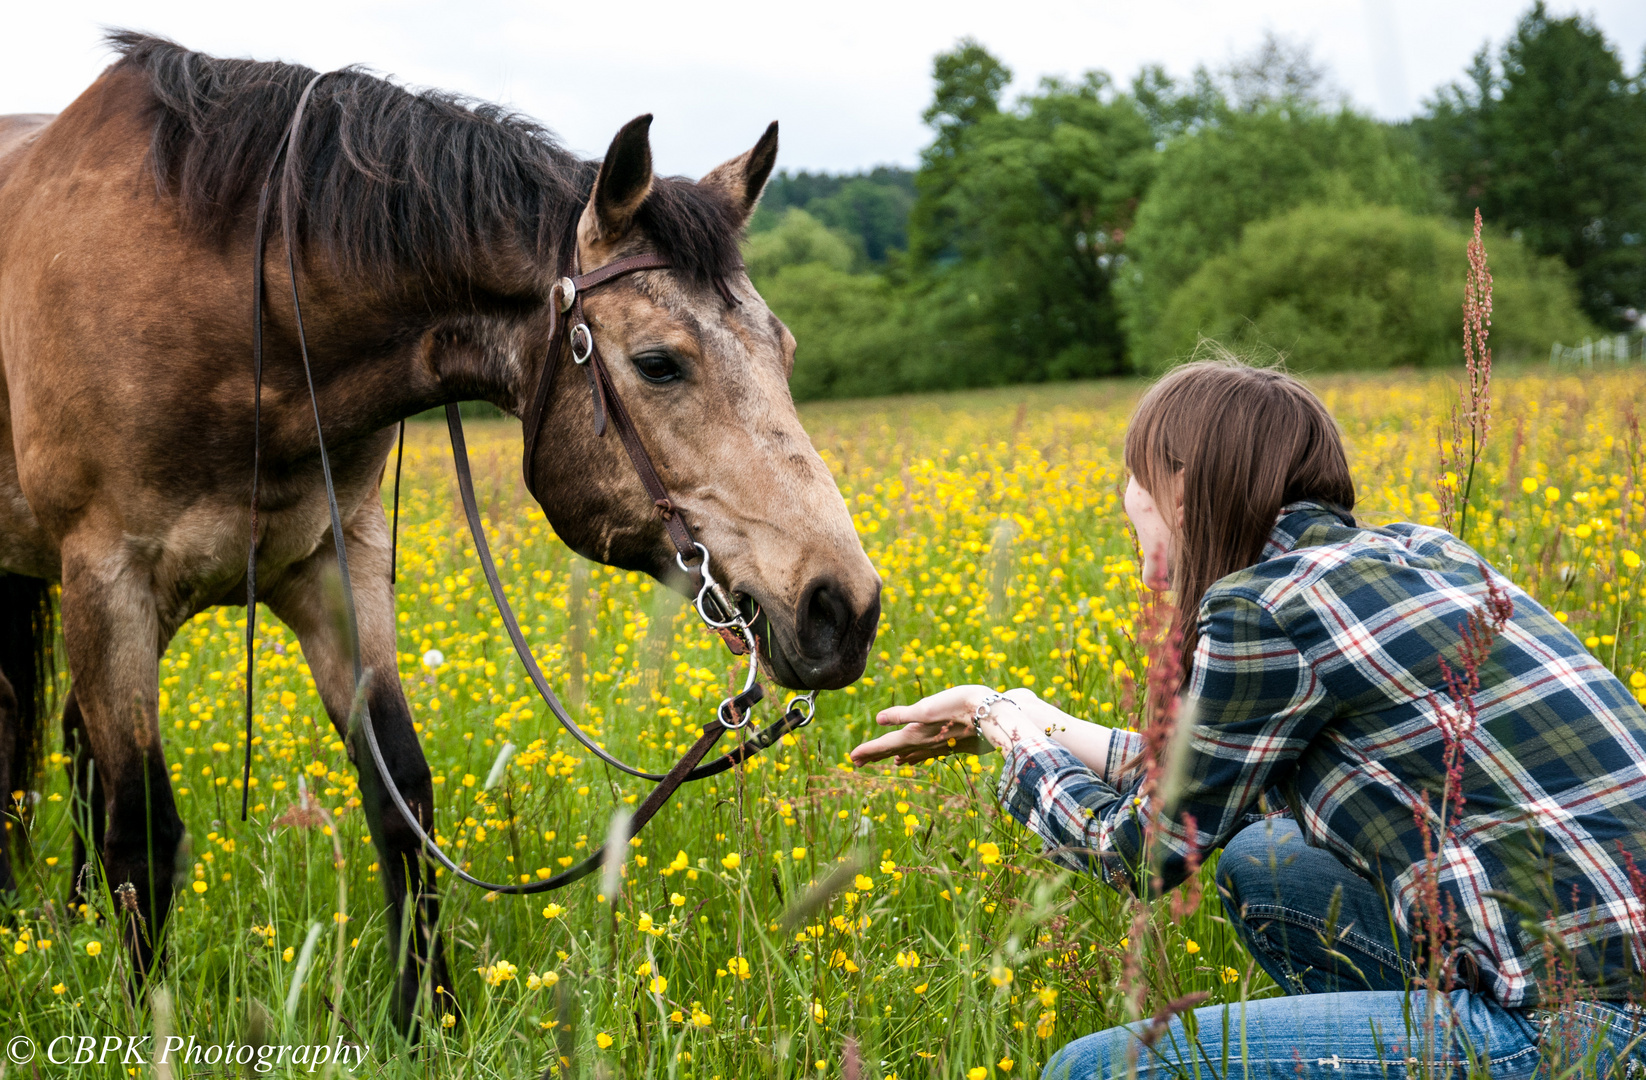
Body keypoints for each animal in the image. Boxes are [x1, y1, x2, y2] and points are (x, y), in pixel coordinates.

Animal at [0, 31, 888, 1027]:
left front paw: (427, 1018)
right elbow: (145, 834)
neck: (239, 311)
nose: (844, 607)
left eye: (786, 350)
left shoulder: (335, 568)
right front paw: (145, 1026)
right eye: (659, 364)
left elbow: (401, 791)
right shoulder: (110, 577)